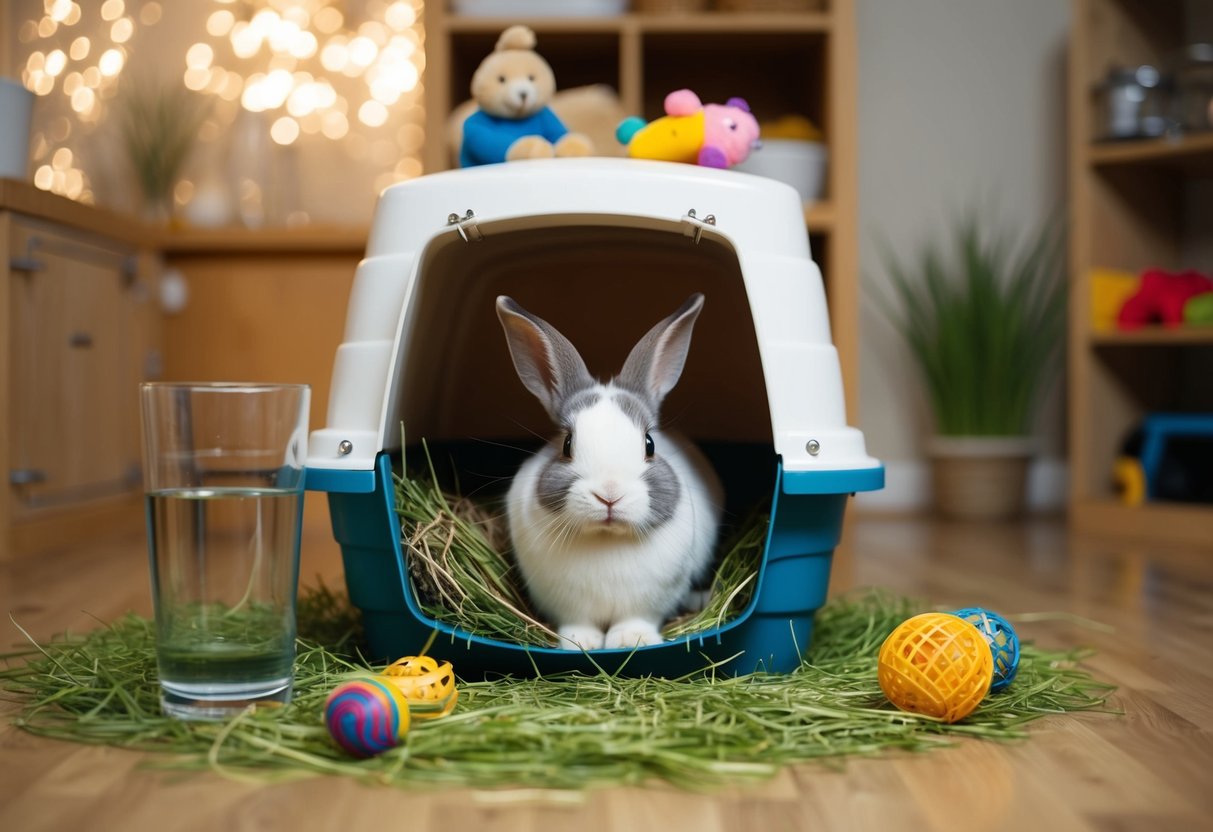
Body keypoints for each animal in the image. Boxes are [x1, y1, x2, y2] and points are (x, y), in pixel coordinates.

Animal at [495, 293, 723, 651]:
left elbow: (636, 619)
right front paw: (581, 643)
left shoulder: (650, 602)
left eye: (649, 444)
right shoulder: (567, 605)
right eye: (567, 444)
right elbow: (578, 623)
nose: (610, 495)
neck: (606, 537)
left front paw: (631, 640)